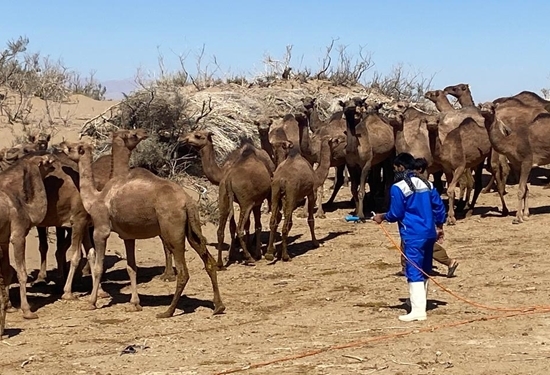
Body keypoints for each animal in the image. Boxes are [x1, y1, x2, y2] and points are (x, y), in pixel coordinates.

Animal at [0, 154, 57, 318]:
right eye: (45, 161)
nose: (53, 159)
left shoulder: (4, 239)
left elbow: (6, 271)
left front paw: (9, 307)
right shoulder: (18, 236)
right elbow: (22, 273)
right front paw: (27, 311)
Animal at [60, 141, 224, 318]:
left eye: (72, 148)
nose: (61, 144)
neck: (95, 198)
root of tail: (187, 201)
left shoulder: (101, 229)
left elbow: (98, 268)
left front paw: (91, 303)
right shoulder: (128, 236)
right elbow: (131, 268)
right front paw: (134, 304)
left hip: (172, 230)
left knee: (183, 271)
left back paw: (168, 311)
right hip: (192, 228)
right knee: (208, 260)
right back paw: (218, 307)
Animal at [266, 134, 338, 262]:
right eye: (334, 140)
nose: (339, 140)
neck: (316, 175)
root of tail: (282, 179)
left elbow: (289, 222)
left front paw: (277, 251)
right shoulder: (311, 192)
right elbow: (310, 220)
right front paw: (315, 243)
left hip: (275, 193)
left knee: (273, 221)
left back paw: (269, 254)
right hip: (291, 193)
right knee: (284, 226)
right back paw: (286, 256)